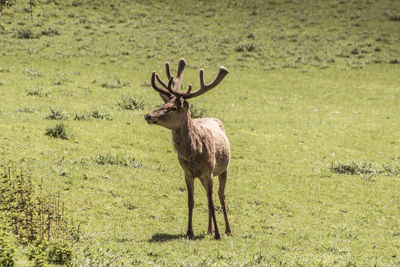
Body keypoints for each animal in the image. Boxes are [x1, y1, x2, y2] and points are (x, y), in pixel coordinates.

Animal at [144, 58, 231, 241]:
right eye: (164, 103)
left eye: (173, 107)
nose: (148, 115)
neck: (193, 155)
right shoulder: (187, 173)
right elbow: (191, 202)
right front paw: (189, 232)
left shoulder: (208, 170)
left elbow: (211, 202)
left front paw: (219, 234)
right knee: (210, 195)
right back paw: (209, 229)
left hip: (223, 169)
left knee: (220, 196)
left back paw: (227, 230)